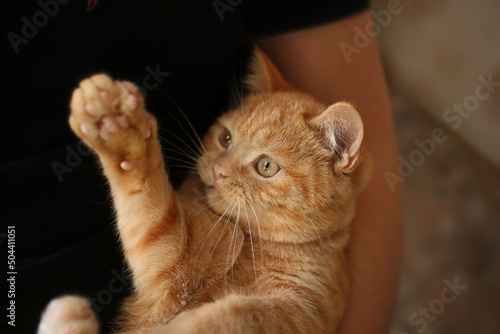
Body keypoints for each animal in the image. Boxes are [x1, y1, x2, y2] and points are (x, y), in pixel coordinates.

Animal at [38, 47, 372, 334]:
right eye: (226, 138)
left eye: (266, 166)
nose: (217, 170)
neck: (252, 241)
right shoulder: (168, 264)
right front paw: (118, 127)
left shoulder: (301, 310)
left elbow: (239, 315)